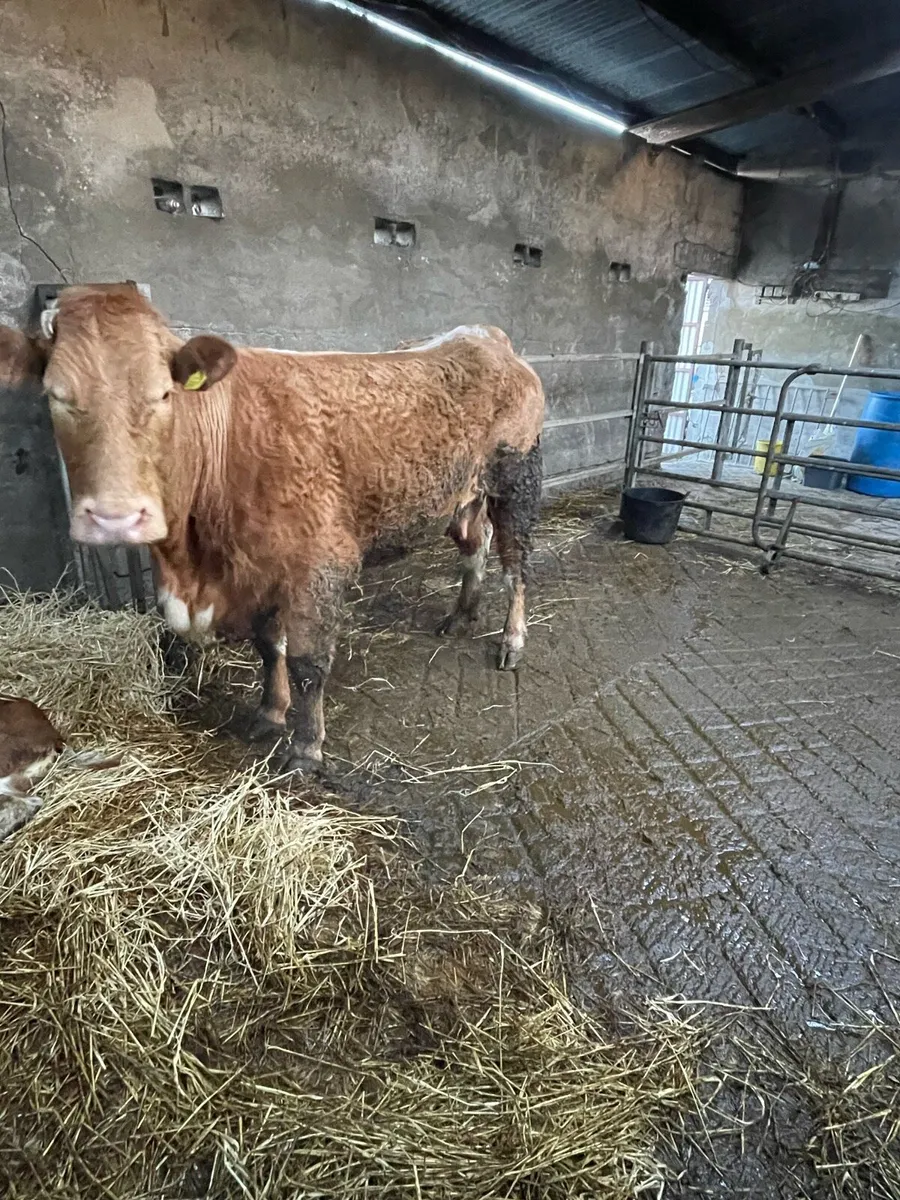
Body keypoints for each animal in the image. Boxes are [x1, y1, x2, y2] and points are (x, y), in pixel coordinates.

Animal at [0, 288, 544, 772]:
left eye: (163, 394)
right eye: (55, 396)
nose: (116, 516)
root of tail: (483, 335)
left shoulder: (319, 566)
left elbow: (306, 663)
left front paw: (306, 748)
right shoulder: (259, 570)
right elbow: (269, 648)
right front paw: (269, 712)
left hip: (517, 481)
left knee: (515, 565)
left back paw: (511, 641)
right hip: (461, 494)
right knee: (475, 545)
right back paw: (462, 613)